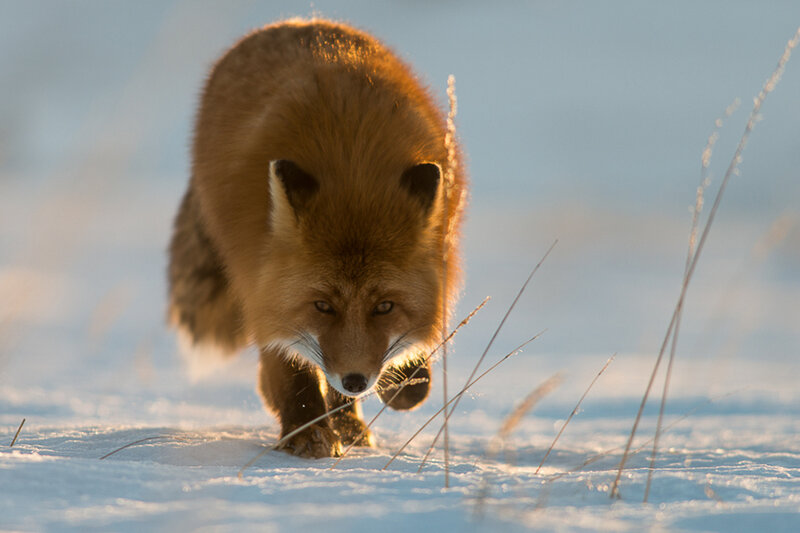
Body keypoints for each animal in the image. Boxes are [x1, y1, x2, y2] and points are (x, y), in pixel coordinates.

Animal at [168, 18, 466, 458]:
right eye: (322, 306)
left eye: (385, 306)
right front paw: (307, 432)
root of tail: (300, 21)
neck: (353, 167)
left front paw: (404, 383)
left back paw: (352, 422)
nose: (356, 380)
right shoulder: (262, 285)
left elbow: (406, 373)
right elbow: (291, 371)